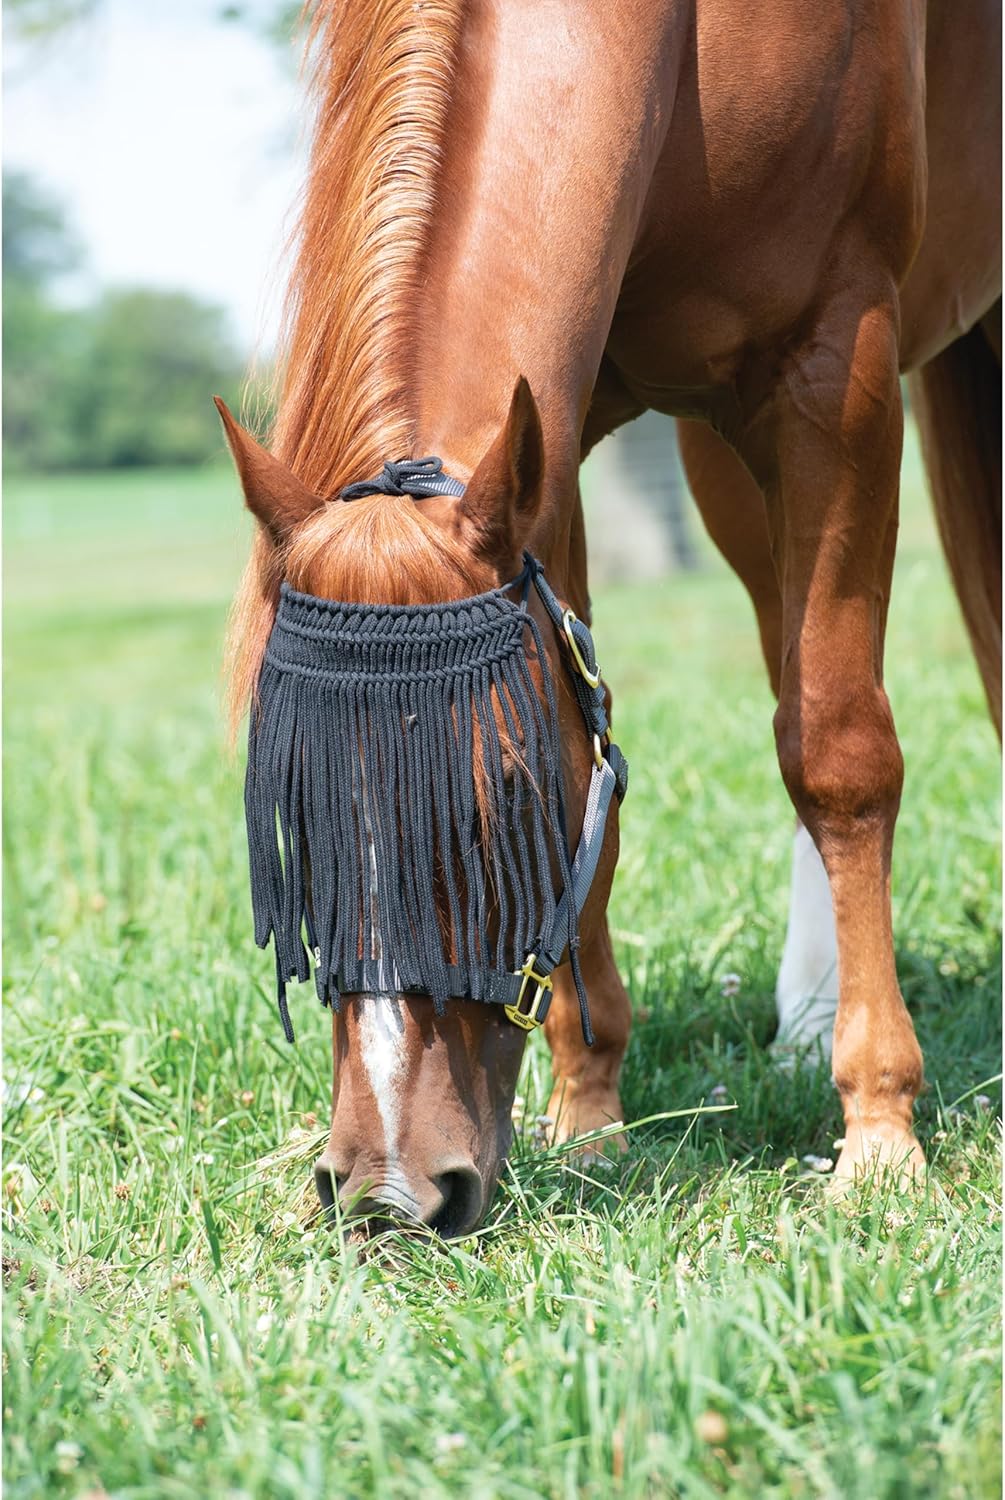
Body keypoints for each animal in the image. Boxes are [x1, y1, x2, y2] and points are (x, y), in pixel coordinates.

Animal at [219, 0, 1001, 1237]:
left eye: (500, 800)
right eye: (294, 820)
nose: (388, 1192)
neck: (694, 49)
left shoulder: (839, 373)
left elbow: (840, 752)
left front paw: (881, 1136)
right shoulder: (558, 443)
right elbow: (610, 759)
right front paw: (589, 1116)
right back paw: (805, 1016)